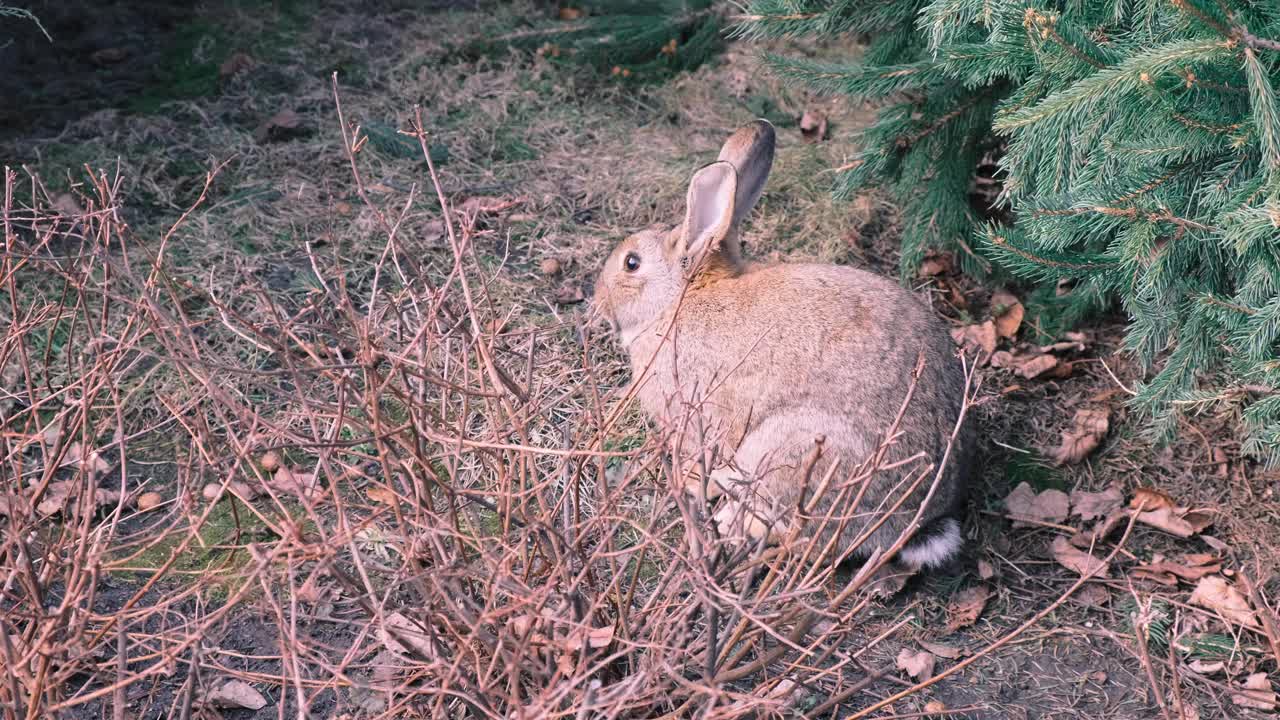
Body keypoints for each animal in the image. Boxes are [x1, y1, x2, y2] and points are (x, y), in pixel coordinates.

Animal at [593, 119, 972, 571]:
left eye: (631, 263)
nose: (597, 299)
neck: (679, 300)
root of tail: (915, 521)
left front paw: (689, 480)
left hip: (793, 452)